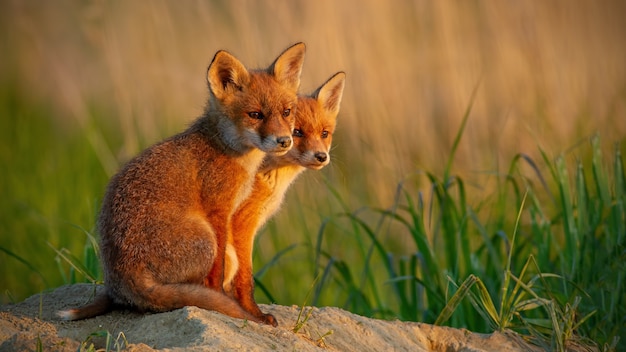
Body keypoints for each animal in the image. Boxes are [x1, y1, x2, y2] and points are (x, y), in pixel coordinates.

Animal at [57, 42, 306, 326]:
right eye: (255, 115)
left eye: (287, 112)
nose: (284, 141)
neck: (227, 149)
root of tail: (122, 278)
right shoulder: (218, 211)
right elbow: (219, 272)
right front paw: (230, 304)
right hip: (205, 238)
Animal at [214, 72, 344, 328]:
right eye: (297, 132)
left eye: (324, 133)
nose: (321, 156)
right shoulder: (242, 223)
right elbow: (245, 277)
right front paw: (252, 313)